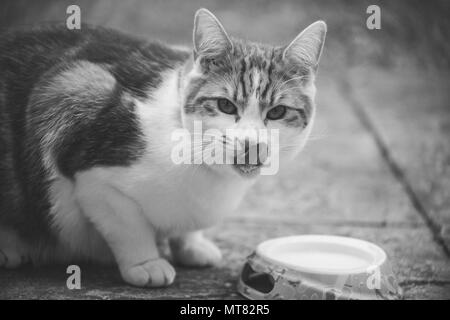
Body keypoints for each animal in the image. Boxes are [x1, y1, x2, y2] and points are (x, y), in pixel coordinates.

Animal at [0, 8, 326, 288]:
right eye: (225, 105)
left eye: (277, 112)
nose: (251, 143)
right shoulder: (91, 168)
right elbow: (128, 226)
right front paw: (145, 263)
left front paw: (191, 244)